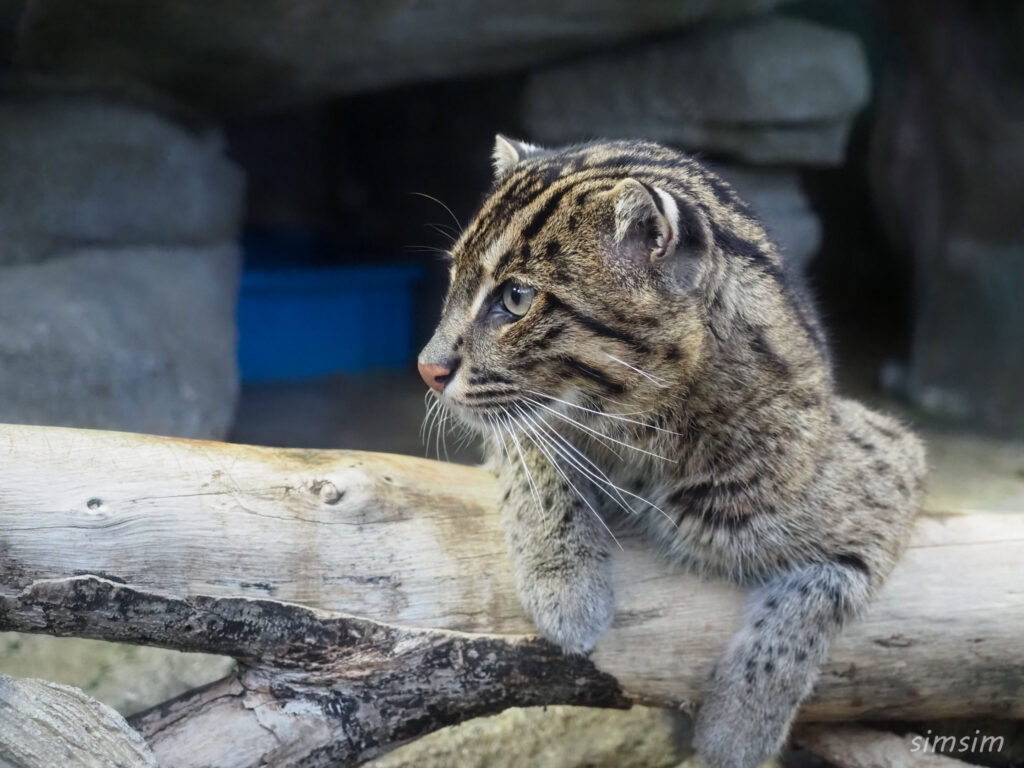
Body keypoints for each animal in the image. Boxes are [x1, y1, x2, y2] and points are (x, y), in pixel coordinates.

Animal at [415, 138, 929, 768]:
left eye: (516, 298)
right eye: (453, 278)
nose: (426, 369)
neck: (649, 434)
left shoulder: (893, 455)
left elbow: (827, 589)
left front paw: (739, 727)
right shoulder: (518, 421)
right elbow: (534, 454)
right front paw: (565, 586)